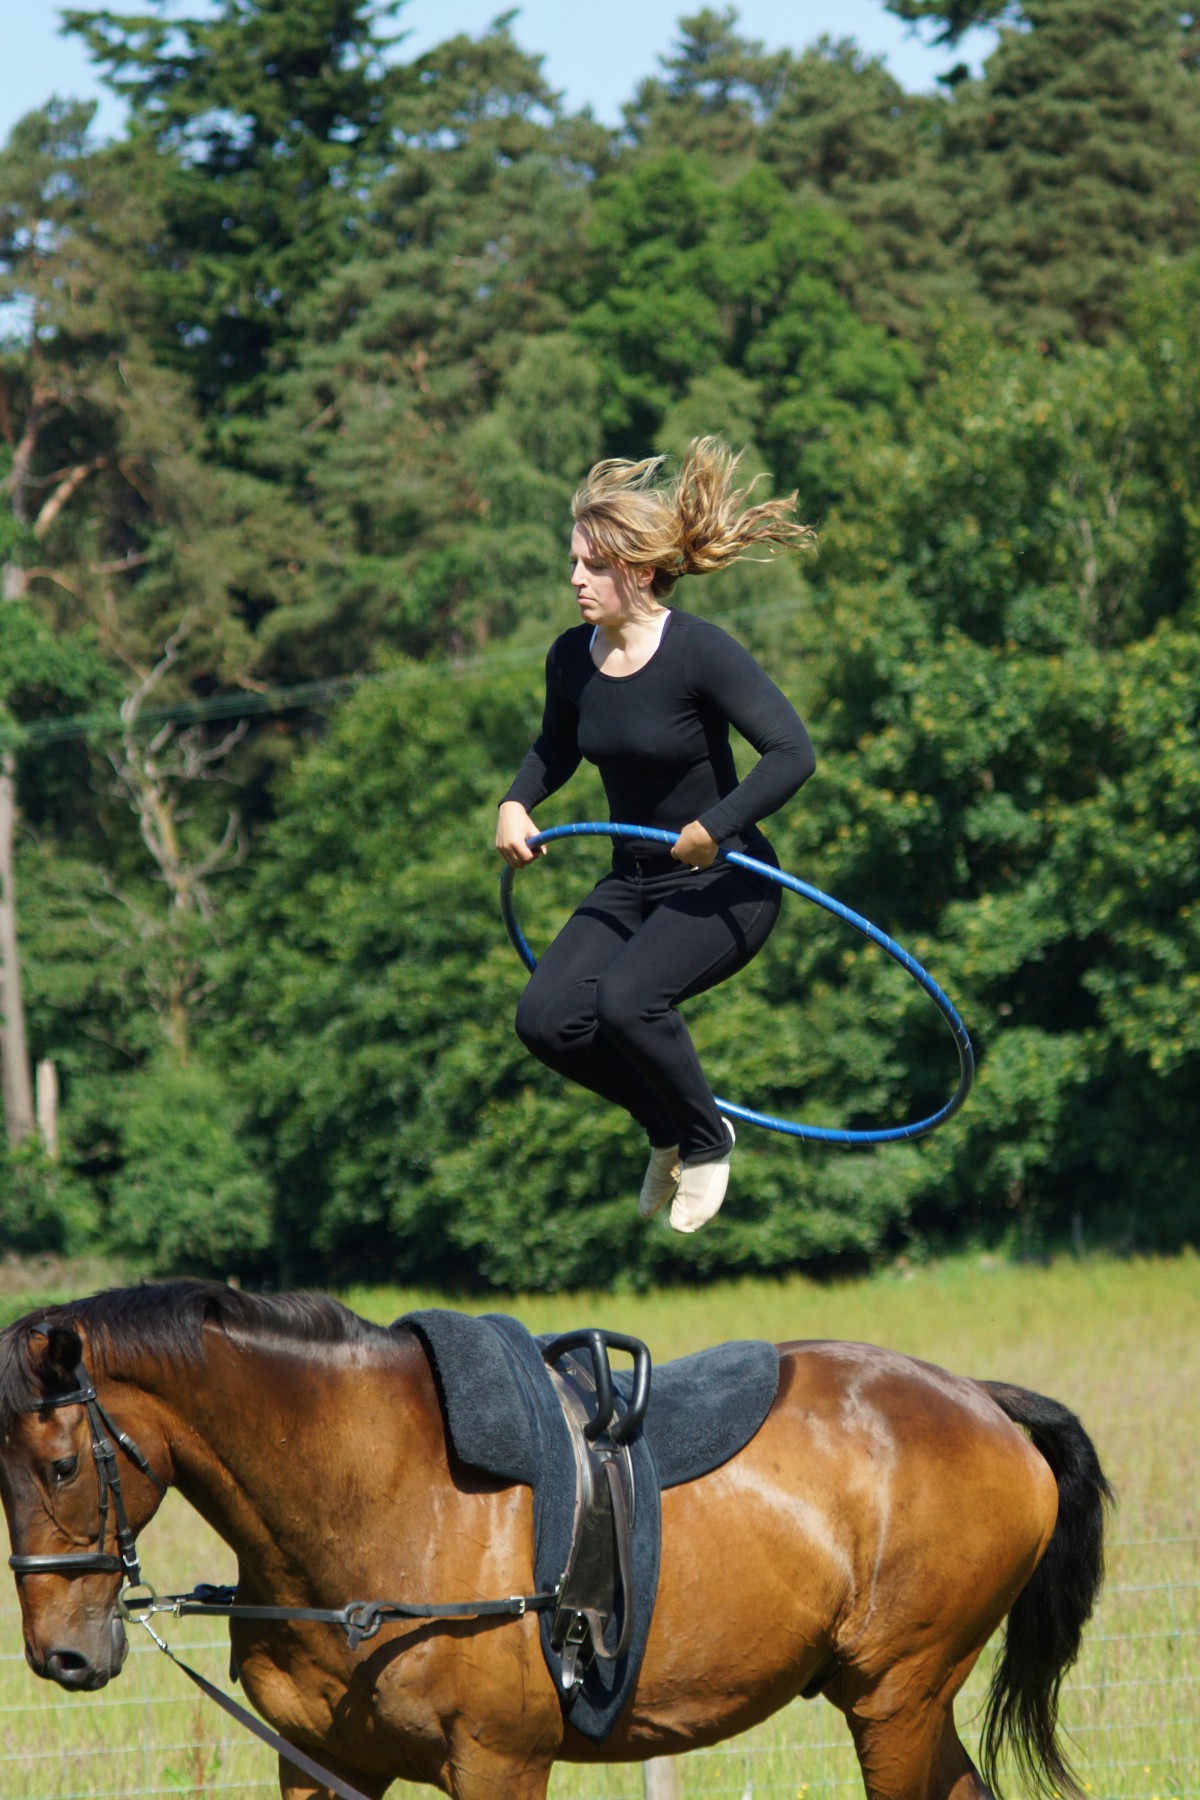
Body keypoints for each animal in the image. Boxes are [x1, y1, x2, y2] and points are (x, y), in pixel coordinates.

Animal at [0, 1281, 1115, 1800]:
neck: (374, 1494)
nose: (63, 1656)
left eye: (58, 1468)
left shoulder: (497, 1765)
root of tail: (983, 1402)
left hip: (897, 1697)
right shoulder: (319, 1763)